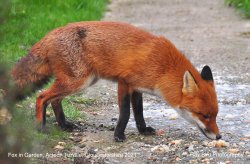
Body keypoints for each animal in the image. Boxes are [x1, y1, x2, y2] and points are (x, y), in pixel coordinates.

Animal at [12, 21, 221, 142]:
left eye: (215, 115)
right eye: (204, 115)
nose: (219, 136)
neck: (162, 67)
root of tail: (48, 35)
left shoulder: (137, 88)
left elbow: (139, 112)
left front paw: (143, 130)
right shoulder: (124, 82)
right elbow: (126, 113)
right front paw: (119, 135)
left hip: (81, 81)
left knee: (54, 100)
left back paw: (64, 125)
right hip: (78, 81)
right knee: (42, 97)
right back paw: (40, 128)